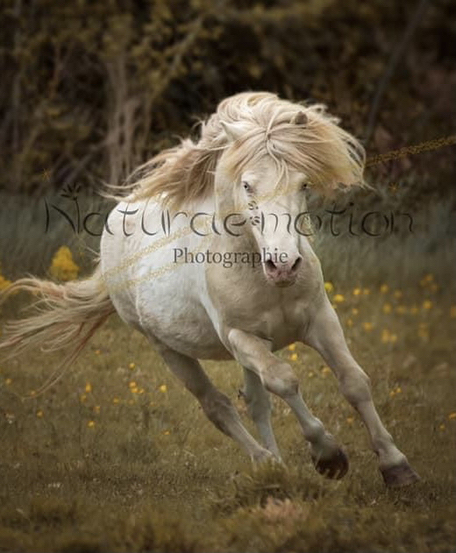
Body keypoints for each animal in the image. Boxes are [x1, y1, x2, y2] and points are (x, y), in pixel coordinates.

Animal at [0, 92, 420, 486]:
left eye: (303, 183)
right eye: (247, 185)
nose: (283, 264)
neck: (263, 277)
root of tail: (121, 212)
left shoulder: (320, 320)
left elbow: (354, 383)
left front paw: (396, 466)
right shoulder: (238, 336)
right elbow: (285, 381)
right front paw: (328, 456)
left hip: (251, 348)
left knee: (256, 402)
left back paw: (277, 468)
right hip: (169, 349)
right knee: (218, 406)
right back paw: (266, 462)